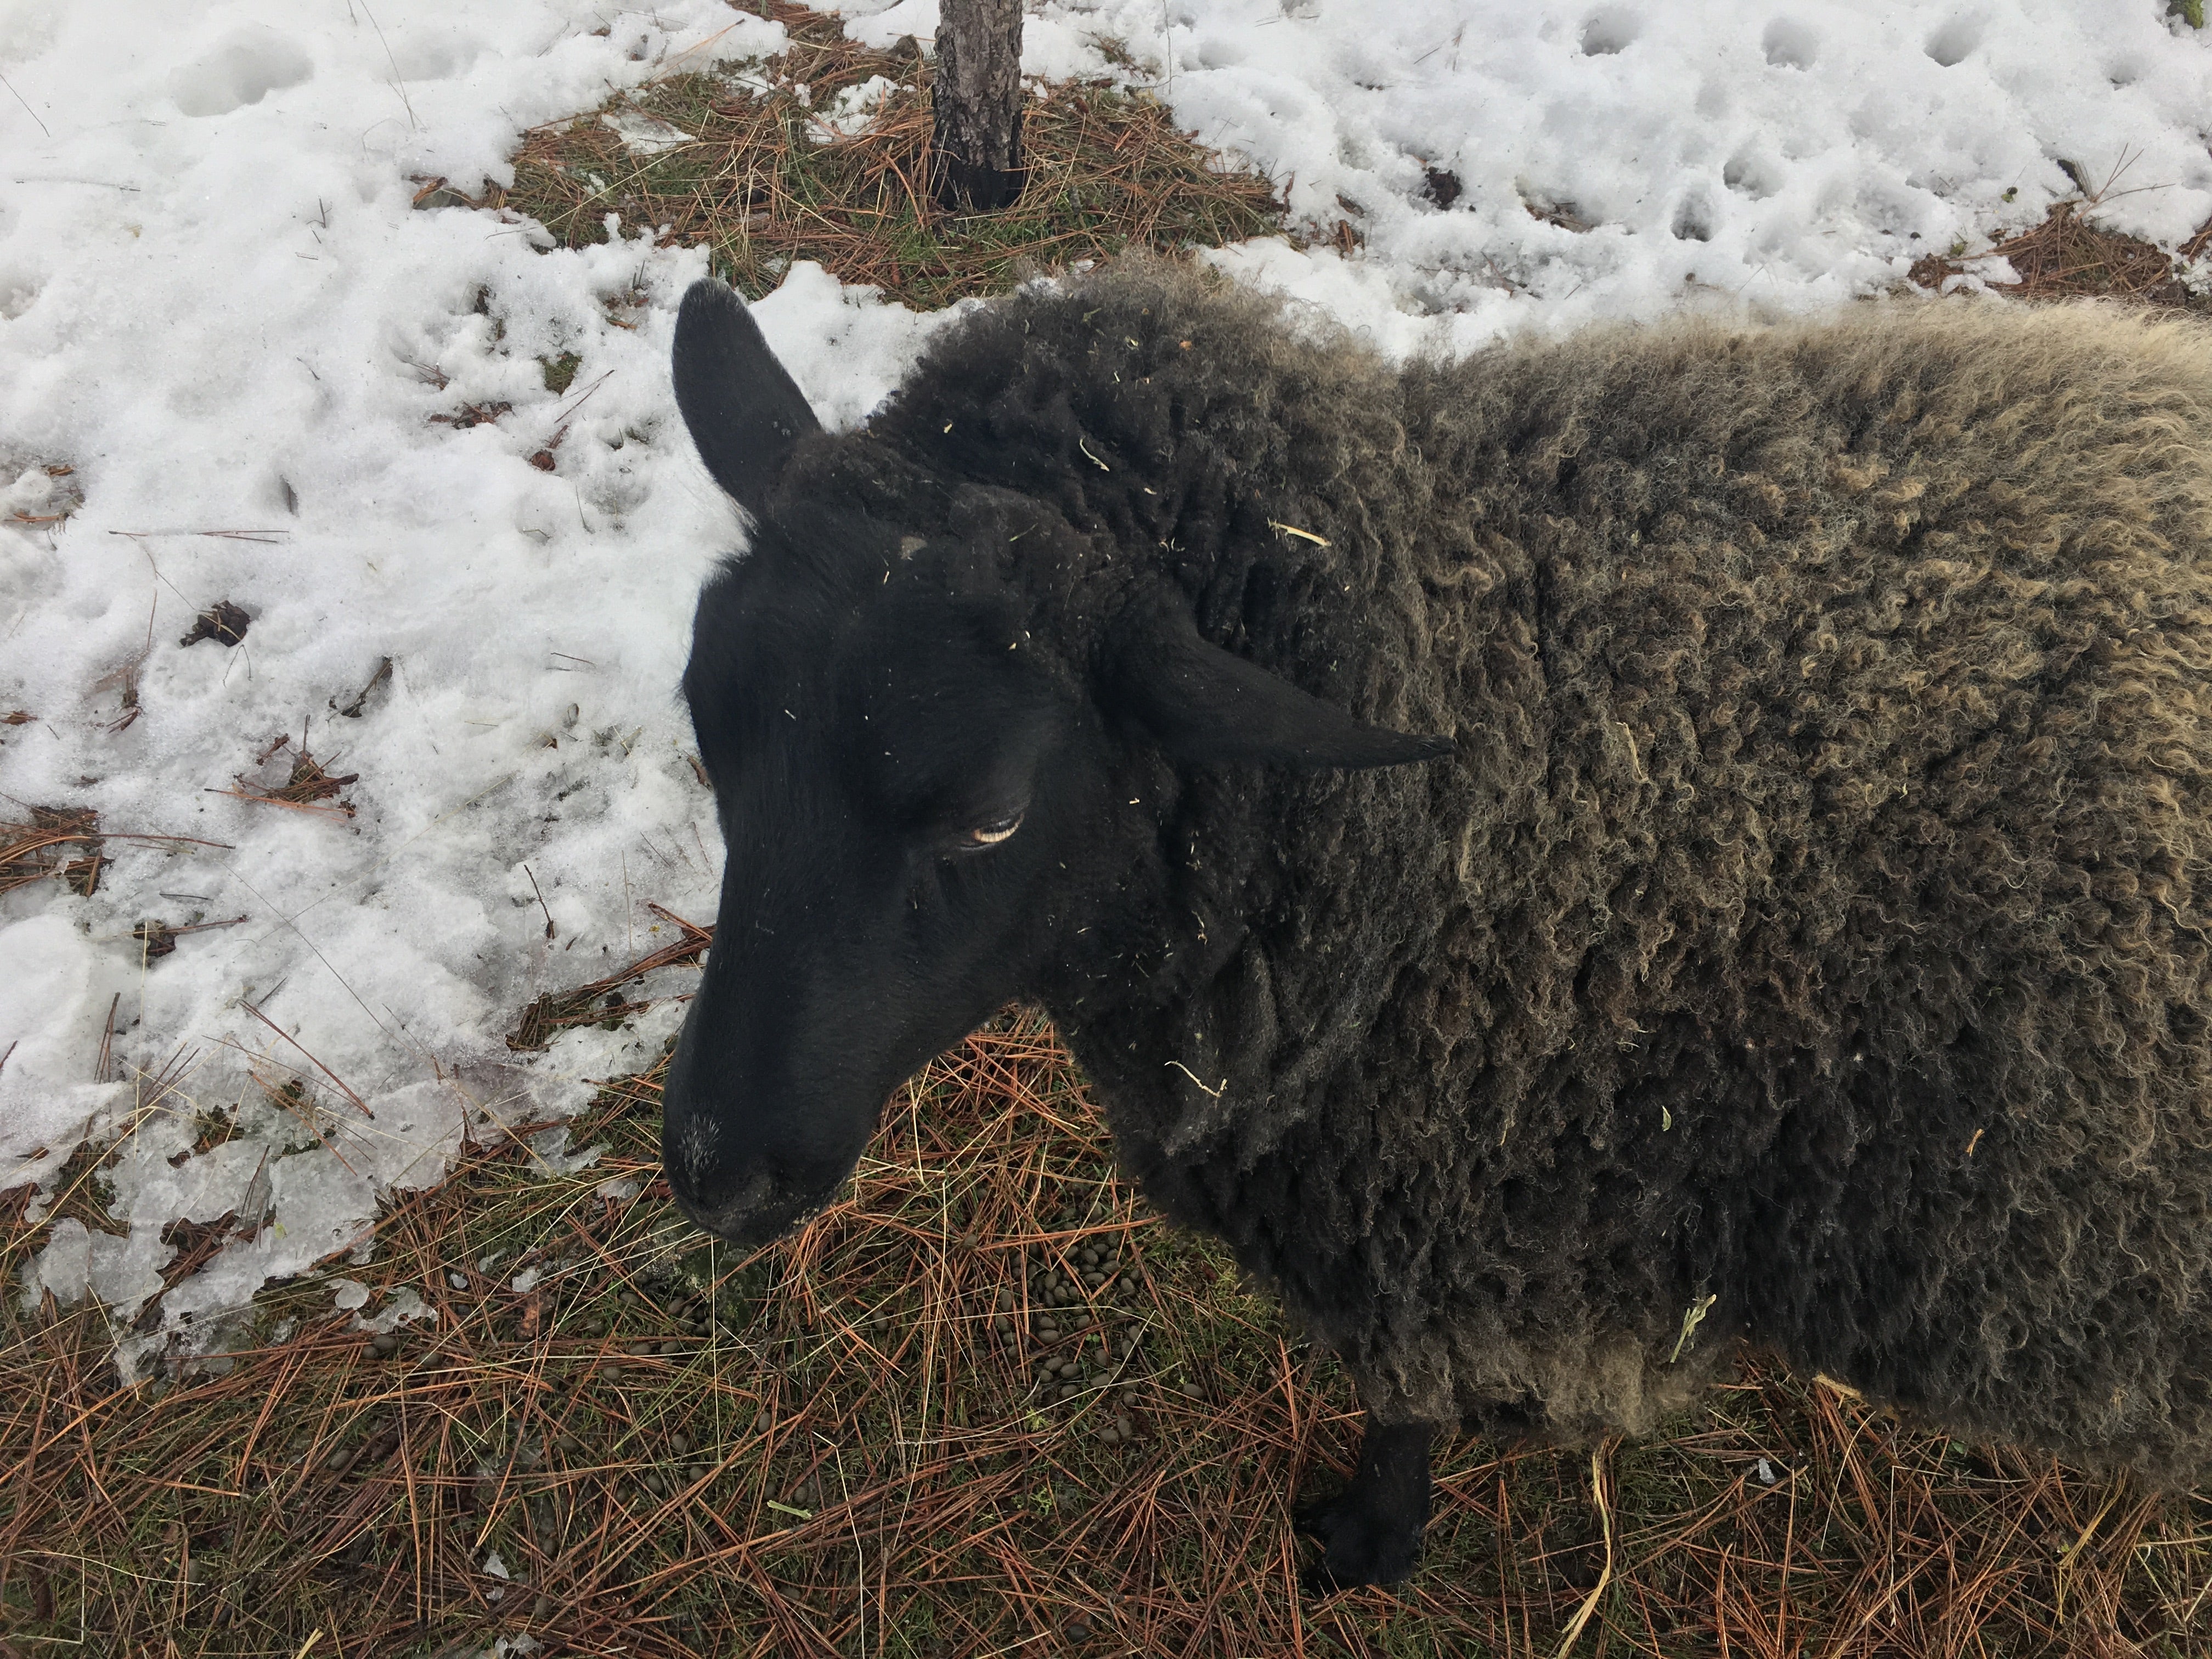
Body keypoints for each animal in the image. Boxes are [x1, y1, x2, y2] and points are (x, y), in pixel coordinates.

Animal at [658, 257, 2212, 1587]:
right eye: (709, 728)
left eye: (990, 813)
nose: (717, 1172)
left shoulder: (1437, 1231)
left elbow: (1404, 1401)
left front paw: (1366, 1538)